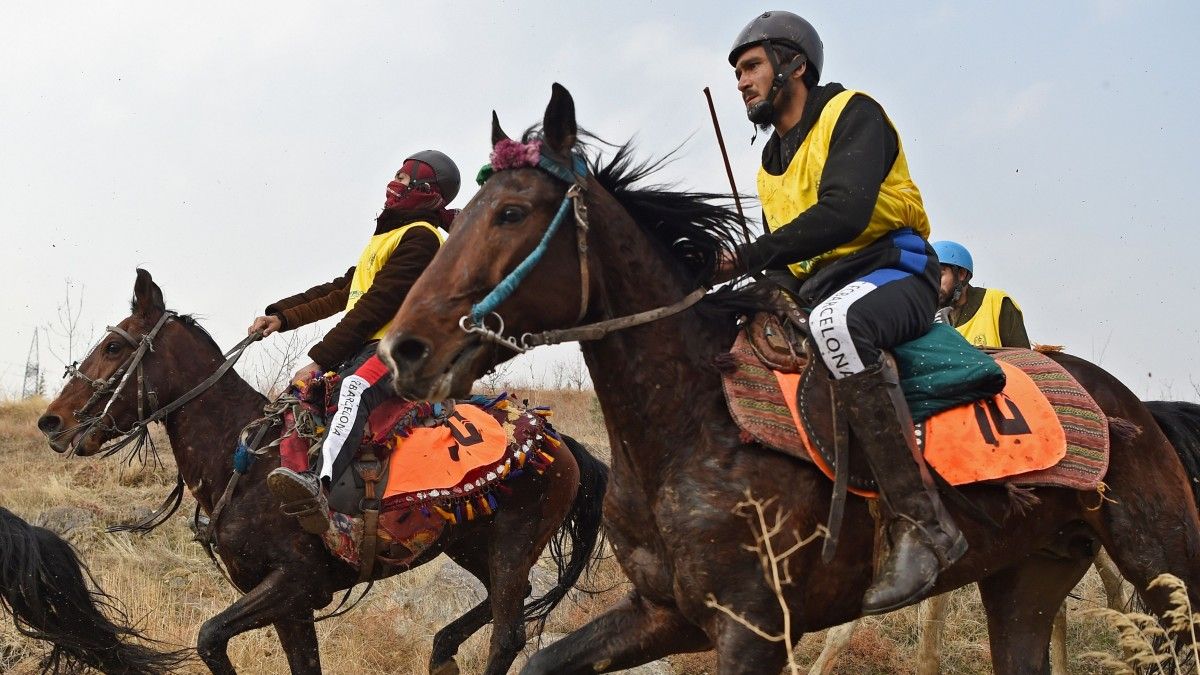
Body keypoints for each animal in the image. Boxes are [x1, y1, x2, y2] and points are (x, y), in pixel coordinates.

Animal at [36, 269, 608, 675]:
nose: (53, 422)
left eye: (115, 346)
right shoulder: (290, 607)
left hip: (513, 542)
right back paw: (442, 650)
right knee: (509, 603)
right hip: (470, 543)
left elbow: (209, 637)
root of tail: (558, 442)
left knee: (508, 635)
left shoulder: (295, 583)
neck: (247, 458)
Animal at [380, 83, 1200, 674]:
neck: (689, 427)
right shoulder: (663, 614)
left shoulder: (754, 632)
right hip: (1027, 576)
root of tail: (1132, 404)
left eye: (512, 213)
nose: (403, 349)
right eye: (461, 216)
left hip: (1164, 570)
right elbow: (541, 660)